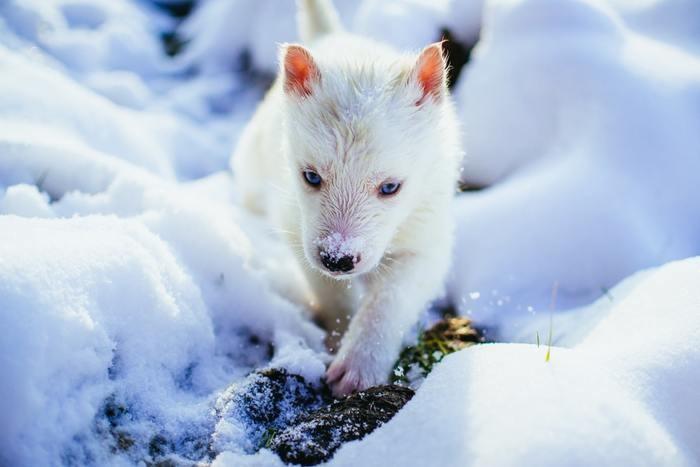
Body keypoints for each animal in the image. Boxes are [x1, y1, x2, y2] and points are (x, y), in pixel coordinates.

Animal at [232, 0, 462, 396]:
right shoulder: (296, 224)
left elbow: (390, 300)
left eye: (390, 187)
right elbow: (330, 291)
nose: (337, 259)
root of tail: (332, 36)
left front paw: (358, 367)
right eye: (311, 176)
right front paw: (338, 337)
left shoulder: (426, 237)